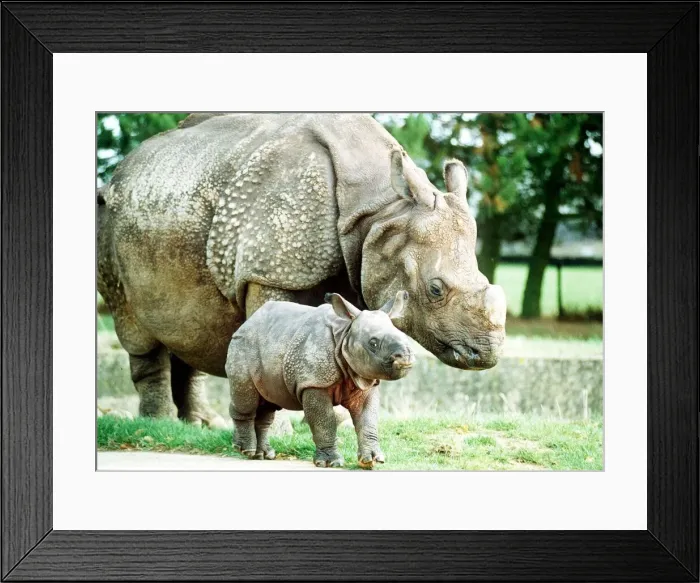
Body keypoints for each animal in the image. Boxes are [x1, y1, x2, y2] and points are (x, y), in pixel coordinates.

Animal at [97, 113, 506, 428]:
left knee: (191, 323)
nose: (487, 354)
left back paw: (197, 425)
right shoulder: (270, 271)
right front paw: (279, 433)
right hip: (110, 220)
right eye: (436, 290)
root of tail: (121, 170)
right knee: (134, 323)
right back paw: (159, 425)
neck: (381, 211)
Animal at [227, 291, 414, 468]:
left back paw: (263, 454)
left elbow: (368, 420)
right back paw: (245, 450)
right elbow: (324, 422)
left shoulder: (364, 382)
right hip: (242, 345)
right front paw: (330, 463)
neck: (345, 333)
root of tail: (246, 323)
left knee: (268, 404)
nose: (405, 356)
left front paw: (372, 460)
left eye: (404, 336)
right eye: (373, 343)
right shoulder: (313, 383)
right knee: (248, 399)